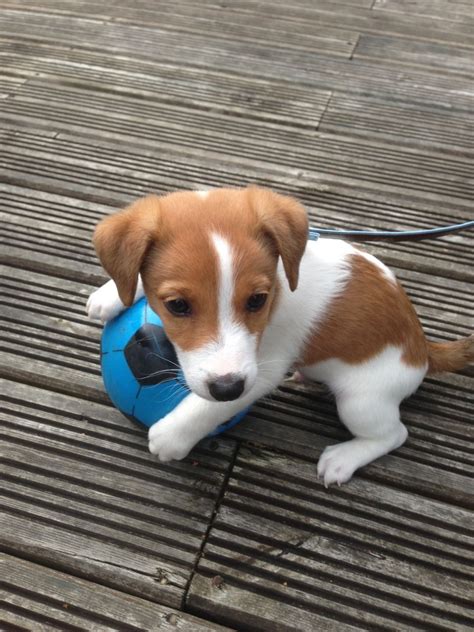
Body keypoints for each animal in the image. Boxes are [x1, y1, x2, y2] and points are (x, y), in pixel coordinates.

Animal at [87, 185, 472, 486]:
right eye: (177, 305)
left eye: (257, 300)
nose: (227, 387)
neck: (281, 287)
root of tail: (423, 349)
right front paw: (111, 295)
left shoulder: (264, 368)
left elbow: (207, 407)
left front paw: (172, 436)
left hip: (362, 400)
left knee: (393, 434)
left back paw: (344, 459)